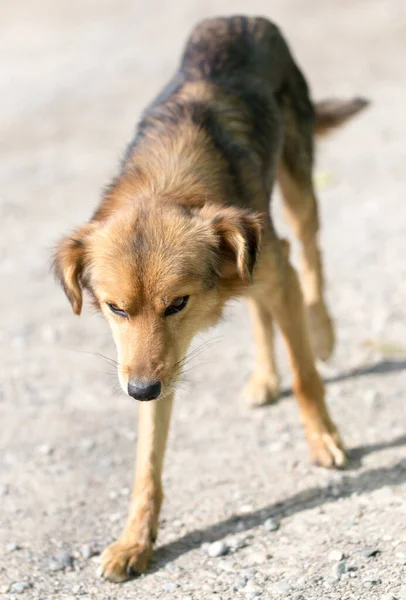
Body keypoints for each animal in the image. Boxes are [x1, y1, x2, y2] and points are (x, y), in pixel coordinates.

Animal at [53, 15, 368, 580]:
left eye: (177, 303)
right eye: (116, 308)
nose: (139, 391)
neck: (166, 182)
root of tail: (240, 18)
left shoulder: (273, 268)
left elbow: (306, 377)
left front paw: (323, 439)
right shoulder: (155, 363)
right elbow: (147, 463)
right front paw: (135, 540)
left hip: (296, 186)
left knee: (310, 253)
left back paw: (322, 331)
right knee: (263, 307)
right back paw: (264, 377)